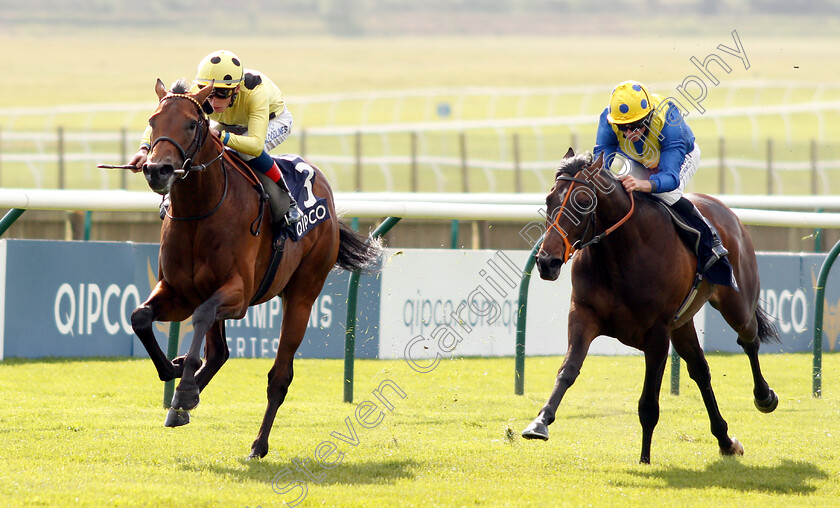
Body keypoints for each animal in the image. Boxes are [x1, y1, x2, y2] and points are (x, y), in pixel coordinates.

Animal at [131, 79, 380, 460]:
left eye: (191, 124)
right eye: (152, 120)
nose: (157, 169)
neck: (200, 211)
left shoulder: (237, 294)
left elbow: (201, 316)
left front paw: (184, 385)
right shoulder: (178, 293)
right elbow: (141, 317)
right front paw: (174, 372)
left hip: (302, 295)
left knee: (279, 377)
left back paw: (257, 443)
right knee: (219, 353)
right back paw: (182, 401)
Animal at [520, 148, 776, 464]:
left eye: (584, 202)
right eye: (548, 200)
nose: (546, 262)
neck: (622, 252)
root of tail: (726, 211)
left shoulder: (657, 333)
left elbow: (649, 404)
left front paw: (644, 459)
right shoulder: (583, 315)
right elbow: (568, 370)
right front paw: (539, 423)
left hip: (735, 303)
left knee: (749, 339)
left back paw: (764, 397)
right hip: (682, 323)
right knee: (700, 369)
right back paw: (725, 440)